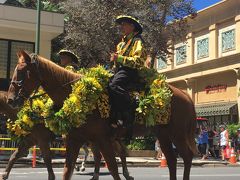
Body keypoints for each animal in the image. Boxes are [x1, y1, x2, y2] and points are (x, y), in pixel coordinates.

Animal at [7, 50, 197, 180]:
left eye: (22, 71)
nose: (10, 100)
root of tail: (184, 94)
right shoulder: (74, 140)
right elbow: (67, 171)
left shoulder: (102, 139)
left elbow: (112, 168)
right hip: (163, 134)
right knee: (172, 160)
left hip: (177, 134)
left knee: (186, 157)